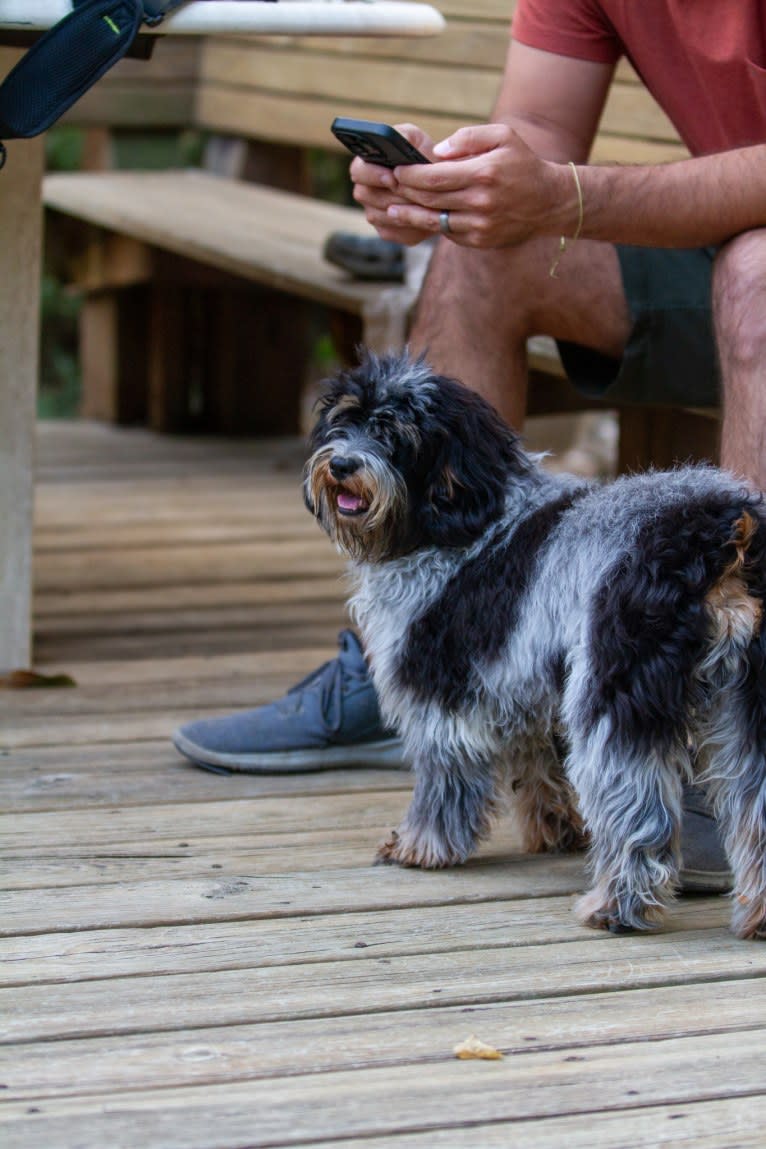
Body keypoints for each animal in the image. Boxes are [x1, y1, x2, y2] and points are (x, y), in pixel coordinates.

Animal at [303, 346, 766, 932]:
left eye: (393, 433)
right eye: (344, 421)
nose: (342, 464)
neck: (464, 521)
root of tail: (721, 527)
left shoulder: (440, 698)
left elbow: (442, 782)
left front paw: (421, 846)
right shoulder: (521, 687)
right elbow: (538, 768)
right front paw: (557, 830)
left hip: (614, 703)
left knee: (640, 813)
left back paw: (615, 906)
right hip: (746, 709)